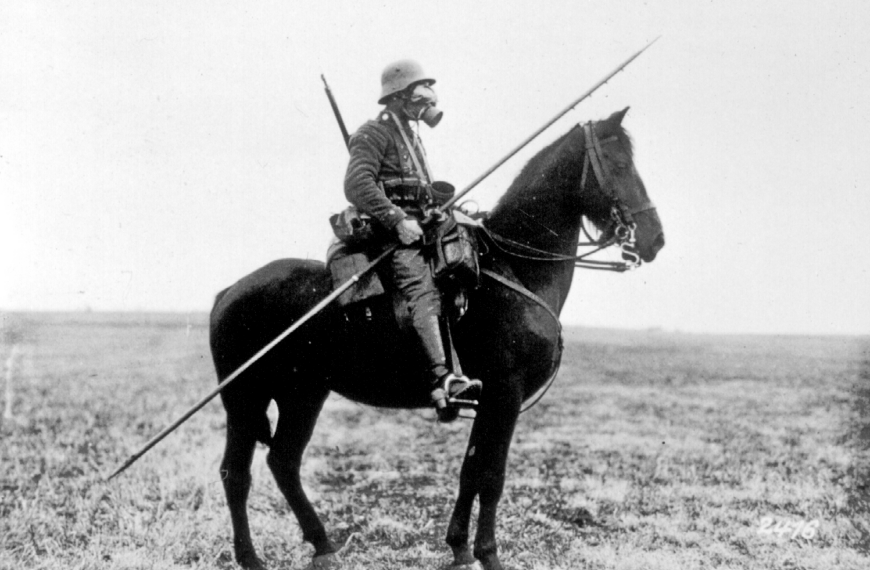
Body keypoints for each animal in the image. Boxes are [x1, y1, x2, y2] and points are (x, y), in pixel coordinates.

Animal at [209, 107, 665, 570]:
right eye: (621, 165)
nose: (654, 238)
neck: (516, 269)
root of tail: (229, 291)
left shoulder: (487, 400)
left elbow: (470, 471)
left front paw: (460, 548)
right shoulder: (505, 394)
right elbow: (492, 476)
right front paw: (489, 554)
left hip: (302, 394)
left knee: (283, 461)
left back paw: (323, 546)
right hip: (245, 399)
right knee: (236, 473)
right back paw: (251, 558)